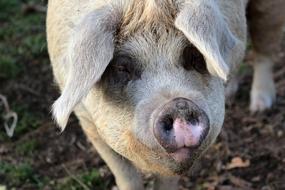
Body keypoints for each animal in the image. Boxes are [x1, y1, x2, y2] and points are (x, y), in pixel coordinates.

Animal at [46, 0, 284, 189]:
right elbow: (127, 178)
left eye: (194, 56)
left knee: (264, 47)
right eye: (122, 67)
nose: (179, 105)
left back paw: (260, 106)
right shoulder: (87, 122)